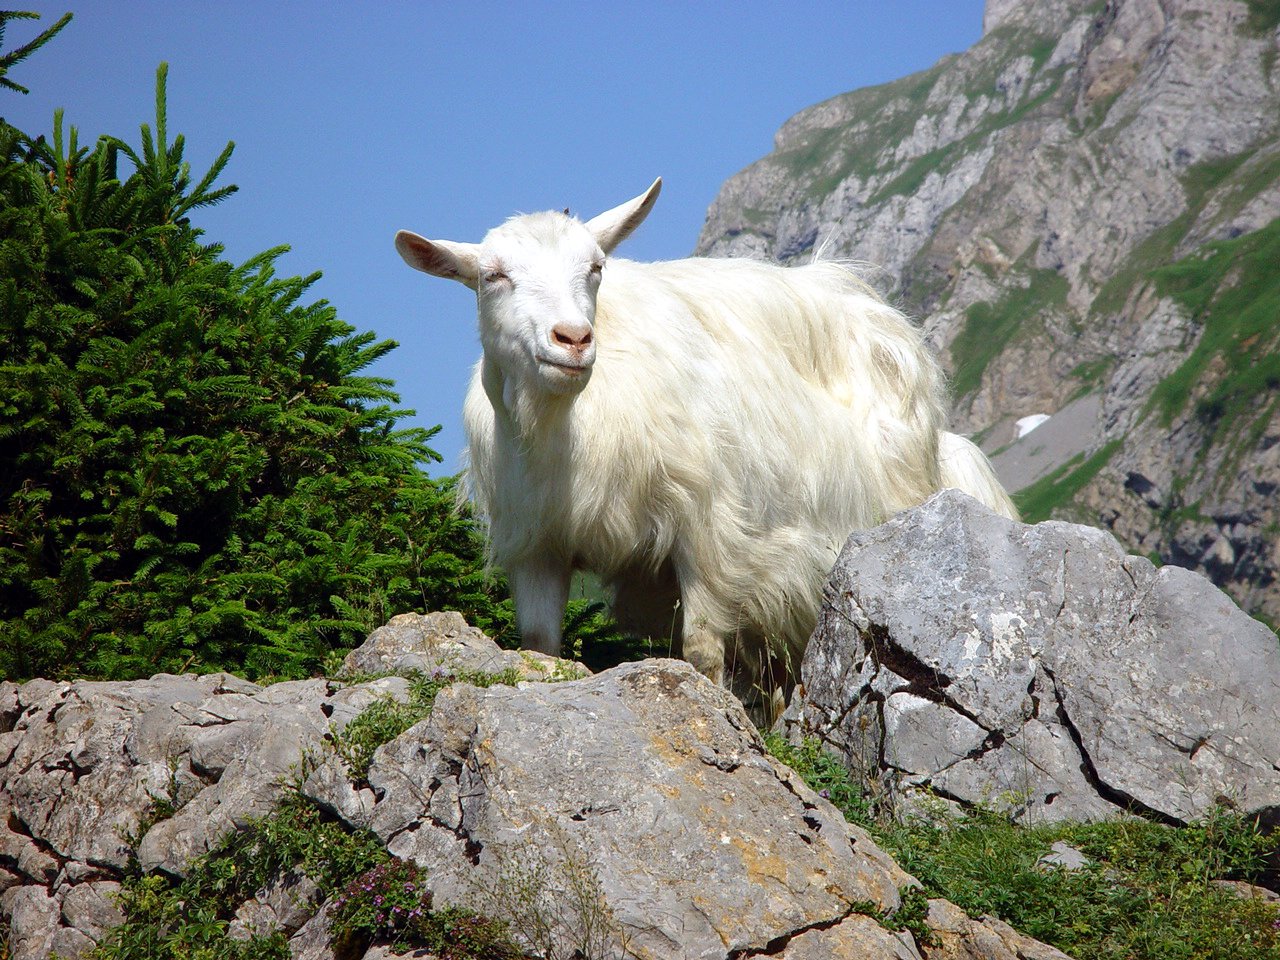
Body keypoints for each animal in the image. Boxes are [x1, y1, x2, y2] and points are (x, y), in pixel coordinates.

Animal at [394, 180, 1013, 701]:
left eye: (595, 267)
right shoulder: (538, 543)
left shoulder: (710, 532)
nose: (572, 339)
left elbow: (700, 649)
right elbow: (540, 645)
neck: (567, 424)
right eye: (493, 276)